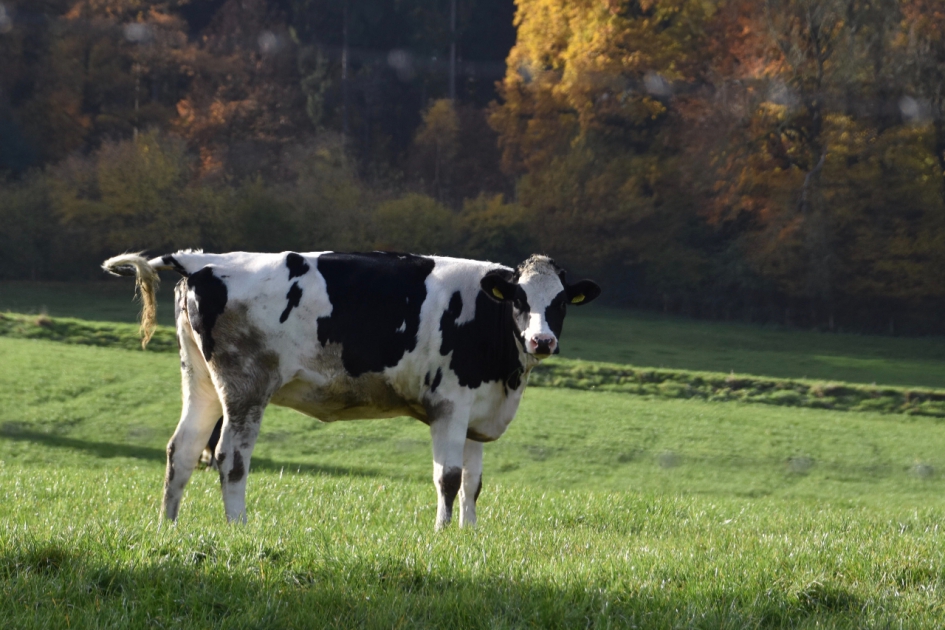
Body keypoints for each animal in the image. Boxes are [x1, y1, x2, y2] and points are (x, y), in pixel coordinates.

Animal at [102, 250, 600, 529]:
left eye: (559, 303)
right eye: (519, 300)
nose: (542, 340)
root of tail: (201, 260)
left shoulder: (477, 409)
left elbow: (474, 483)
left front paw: (470, 534)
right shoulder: (450, 405)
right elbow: (449, 478)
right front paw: (442, 535)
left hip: (201, 380)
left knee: (183, 449)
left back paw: (168, 526)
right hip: (244, 384)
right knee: (230, 457)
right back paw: (237, 526)